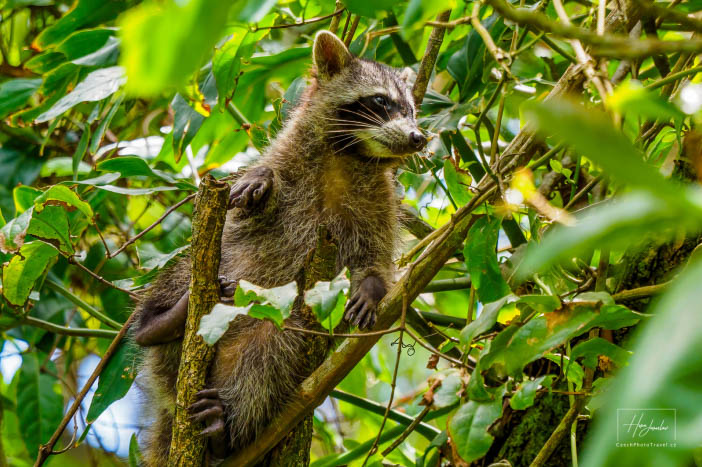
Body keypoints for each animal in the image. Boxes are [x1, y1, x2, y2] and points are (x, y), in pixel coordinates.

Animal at [133, 29, 428, 464]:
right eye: (380, 102)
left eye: (411, 110)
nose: (418, 137)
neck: (349, 153)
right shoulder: (289, 155)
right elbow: (258, 187)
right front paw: (259, 178)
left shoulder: (380, 201)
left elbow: (375, 252)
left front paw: (372, 286)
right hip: (206, 281)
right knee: (183, 272)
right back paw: (161, 321)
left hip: (269, 330)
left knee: (267, 356)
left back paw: (224, 431)